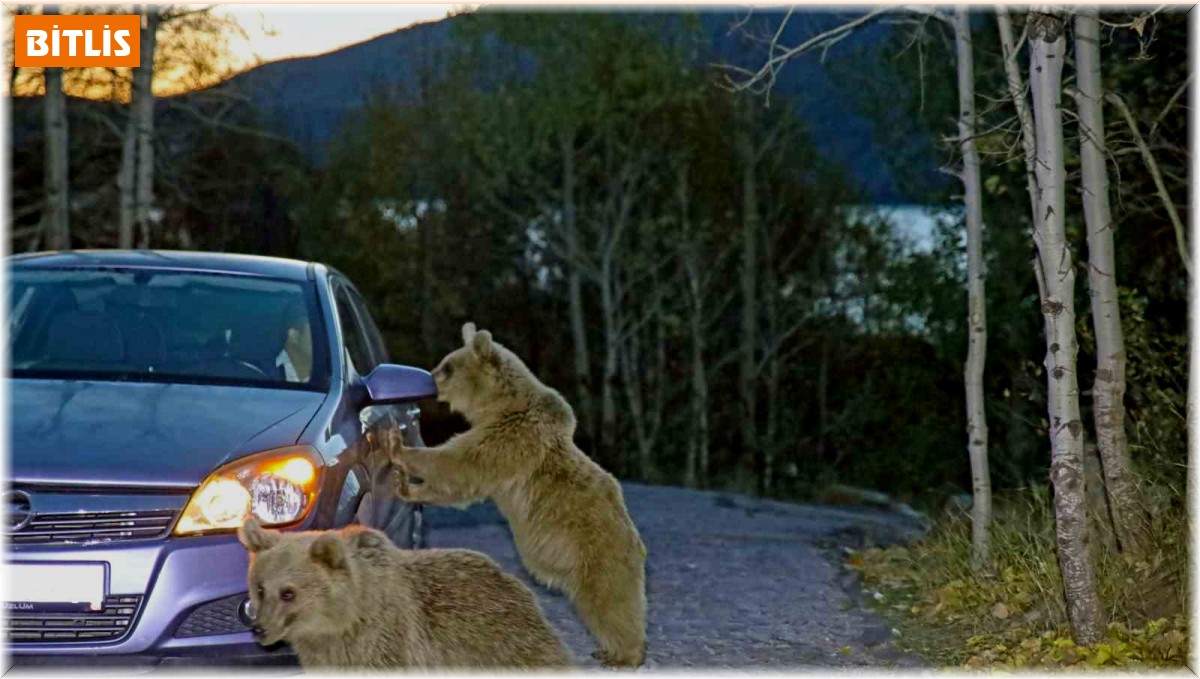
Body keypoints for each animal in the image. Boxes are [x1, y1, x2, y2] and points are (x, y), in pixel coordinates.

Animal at [386, 323, 648, 671]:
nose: (429, 379)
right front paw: (409, 487)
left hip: (598, 551)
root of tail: (635, 540)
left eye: (448, 366)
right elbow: (459, 485)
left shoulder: (509, 439)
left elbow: (458, 463)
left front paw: (398, 448)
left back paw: (625, 655)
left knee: (610, 602)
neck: (497, 405)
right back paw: (607, 651)